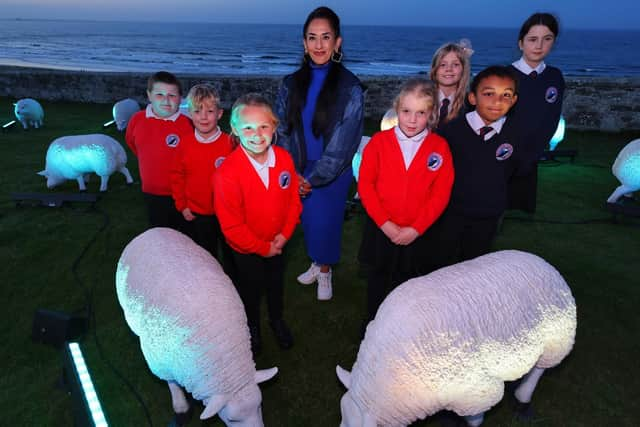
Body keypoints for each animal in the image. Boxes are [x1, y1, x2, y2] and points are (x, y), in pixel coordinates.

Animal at [116, 229, 276, 426]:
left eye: (260, 406)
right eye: (232, 420)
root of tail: (149, 232)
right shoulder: (160, 362)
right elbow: (171, 384)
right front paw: (180, 407)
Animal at [338, 251, 576, 427]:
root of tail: (542, 261)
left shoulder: (475, 388)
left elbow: (475, 419)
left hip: (557, 338)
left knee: (540, 369)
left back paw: (523, 398)